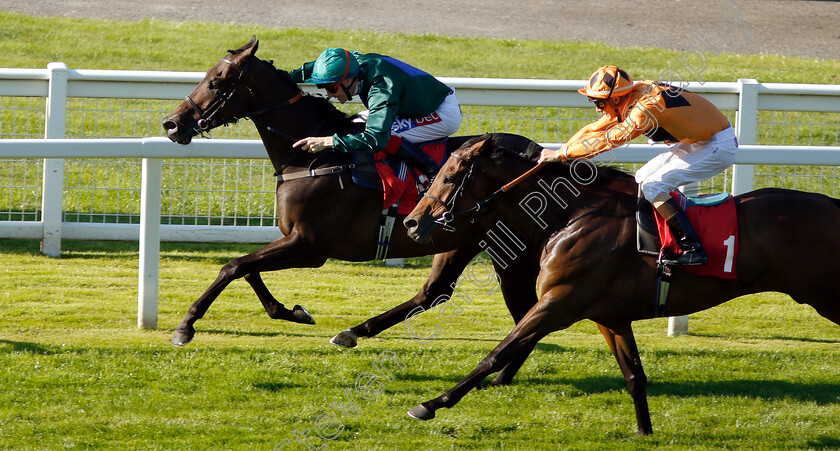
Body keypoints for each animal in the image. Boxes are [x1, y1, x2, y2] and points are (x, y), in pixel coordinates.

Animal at [162, 37, 544, 354]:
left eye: (216, 82)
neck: (314, 161)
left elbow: (233, 266)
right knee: (436, 292)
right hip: (462, 242)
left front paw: (186, 326)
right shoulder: (293, 238)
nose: (171, 124)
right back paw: (354, 332)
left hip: (507, 248)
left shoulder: (310, 245)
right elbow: (247, 269)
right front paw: (291, 311)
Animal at [400, 133, 840, 434]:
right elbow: (634, 376)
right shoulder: (609, 316)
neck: (575, 215)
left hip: (827, 296)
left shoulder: (559, 303)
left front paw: (431, 403)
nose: (412, 222)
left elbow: (496, 353)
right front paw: (645, 432)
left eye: (450, 176)